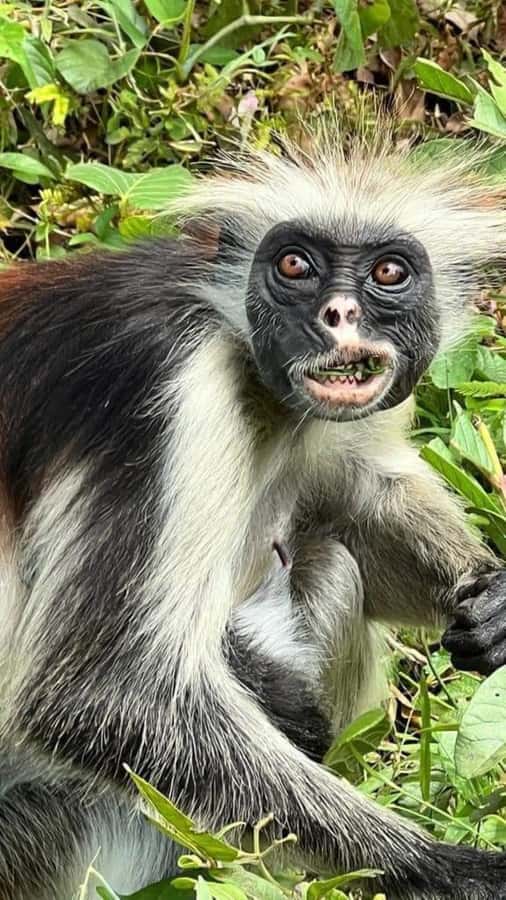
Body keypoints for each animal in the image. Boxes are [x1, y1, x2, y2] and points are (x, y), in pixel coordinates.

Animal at [0, 133, 505, 900]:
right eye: (295, 265)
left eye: (389, 272)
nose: (337, 315)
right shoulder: (166, 386)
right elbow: (98, 696)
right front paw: (441, 868)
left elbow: (360, 496)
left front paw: (498, 604)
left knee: (331, 563)